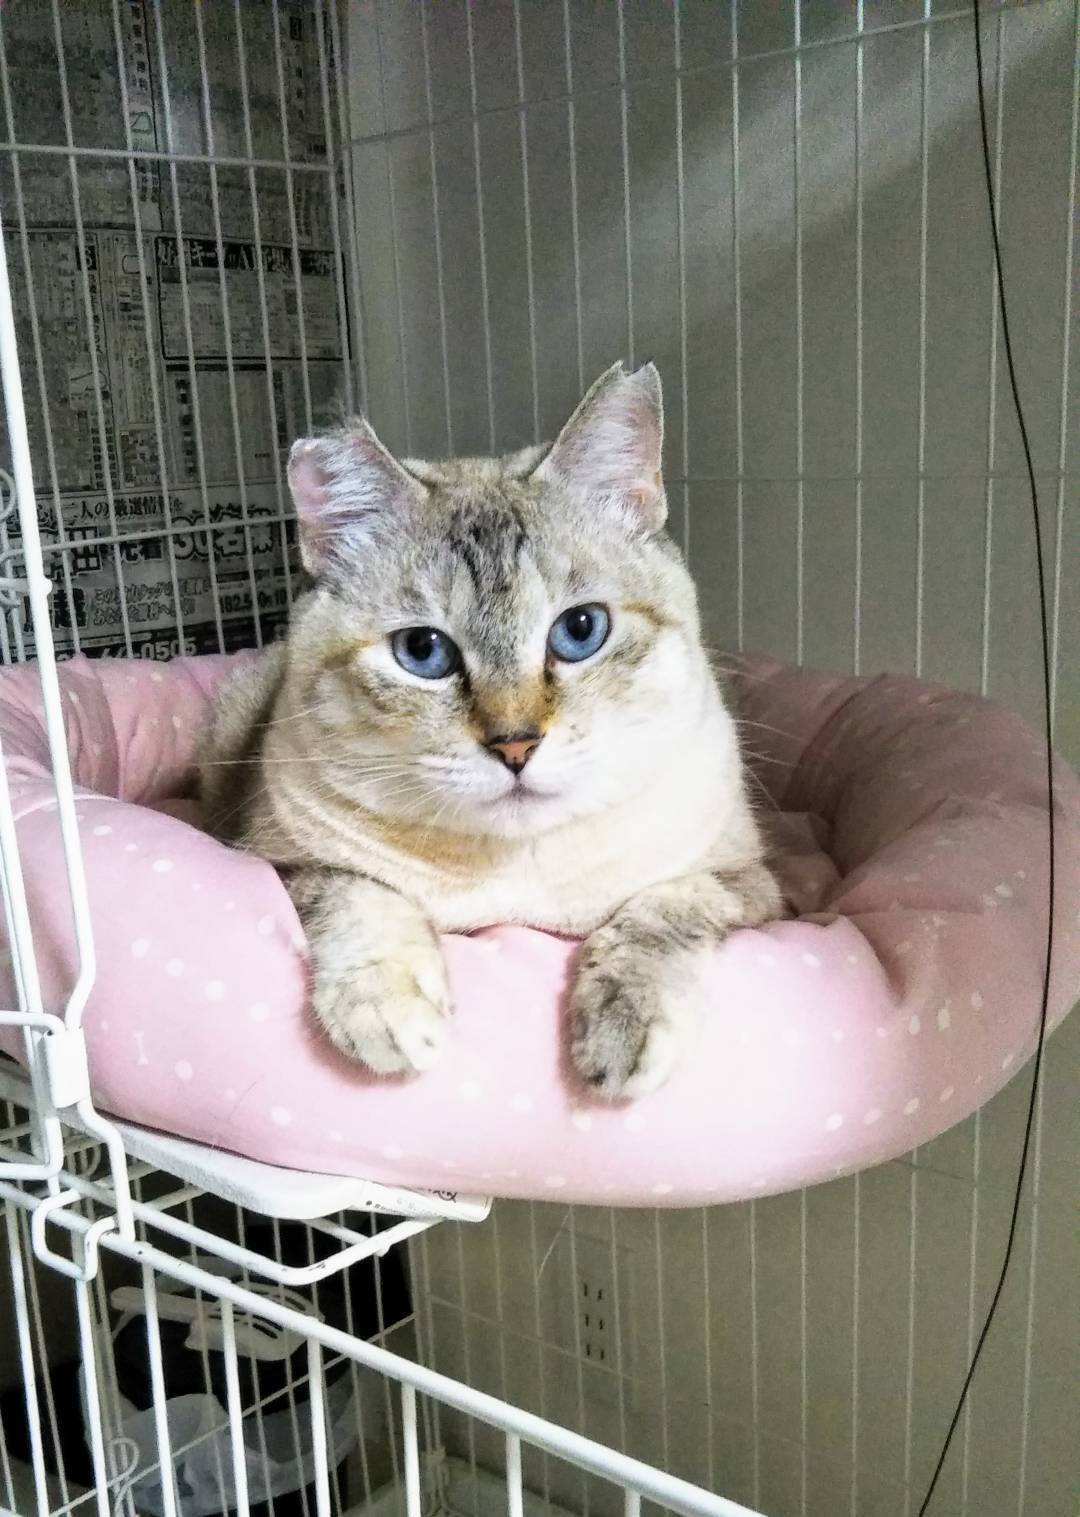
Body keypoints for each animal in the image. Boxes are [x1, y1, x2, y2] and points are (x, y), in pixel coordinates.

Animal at [199, 362, 780, 1098]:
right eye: (422, 651)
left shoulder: (749, 883)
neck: (515, 867)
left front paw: (621, 1036)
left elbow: (662, 911)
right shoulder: (282, 862)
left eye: (581, 630)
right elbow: (359, 895)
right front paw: (388, 1014)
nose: (516, 745)